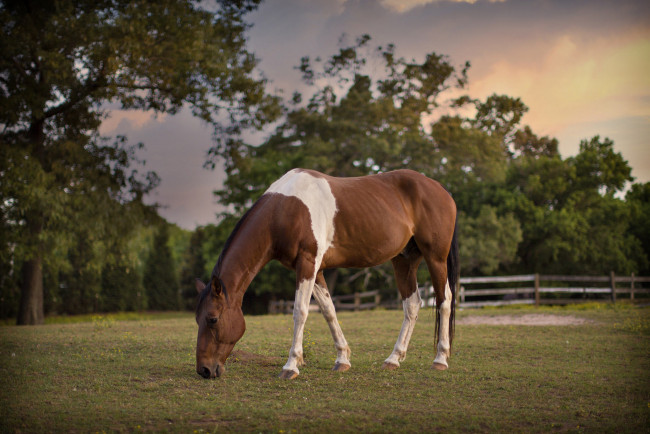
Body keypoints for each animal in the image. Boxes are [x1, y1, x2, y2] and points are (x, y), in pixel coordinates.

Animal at [192, 168, 456, 378]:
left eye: (212, 319)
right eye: (198, 318)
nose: (204, 370)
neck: (284, 209)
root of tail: (440, 189)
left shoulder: (307, 263)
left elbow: (300, 311)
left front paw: (291, 365)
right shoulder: (315, 269)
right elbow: (328, 311)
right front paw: (342, 359)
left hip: (435, 258)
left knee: (444, 300)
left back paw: (440, 359)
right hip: (404, 260)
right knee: (412, 304)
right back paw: (393, 359)